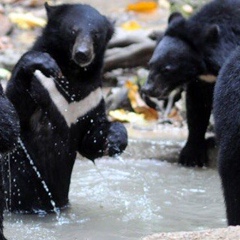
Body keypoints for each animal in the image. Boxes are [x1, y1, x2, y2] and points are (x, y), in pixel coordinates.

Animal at [3, 2, 127, 214]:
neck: (73, 73)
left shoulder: (91, 98)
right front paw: (42, 61)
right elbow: (15, 117)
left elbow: (89, 140)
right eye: (73, 30)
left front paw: (116, 137)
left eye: (95, 34)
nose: (83, 53)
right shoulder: (41, 83)